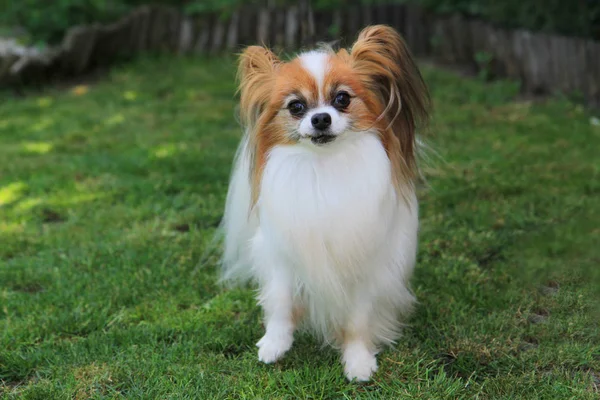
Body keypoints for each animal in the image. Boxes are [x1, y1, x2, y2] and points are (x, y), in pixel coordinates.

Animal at [220, 25, 432, 382]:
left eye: (342, 99)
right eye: (296, 106)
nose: (320, 119)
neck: (323, 167)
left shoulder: (365, 262)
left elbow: (358, 320)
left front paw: (358, 361)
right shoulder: (282, 253)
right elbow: (280, 301)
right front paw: (274, 344)